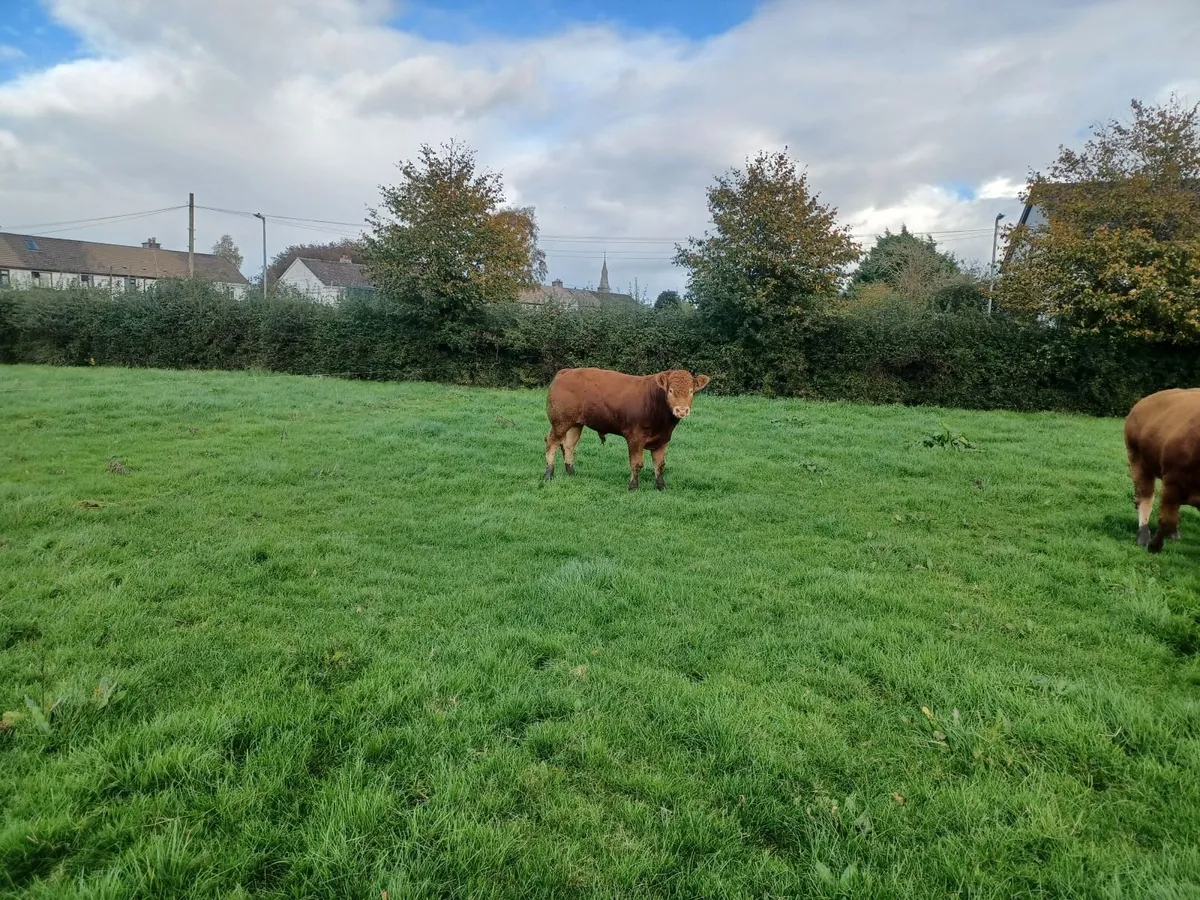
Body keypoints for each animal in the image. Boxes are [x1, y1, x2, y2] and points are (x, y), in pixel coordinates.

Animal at [543, 367, 710, 491]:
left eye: (691, 391)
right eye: (670, 390)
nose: (681, 410)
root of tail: (566, 372)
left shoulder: (663, 439)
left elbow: (660, 465)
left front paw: (661, 486)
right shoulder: (635, 438)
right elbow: (636, 464)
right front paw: (633, 486)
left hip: (575, 424)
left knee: (568, 446)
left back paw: (571, 472)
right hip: (560, 422)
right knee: (552, 443)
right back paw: (548, 474)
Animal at [1123, 387, 1200, 552]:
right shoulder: (1172, 481)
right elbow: (1166, 520)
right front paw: (1154, 546)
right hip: (1137, 459)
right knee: (1145, 498)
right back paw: (1143, 536)